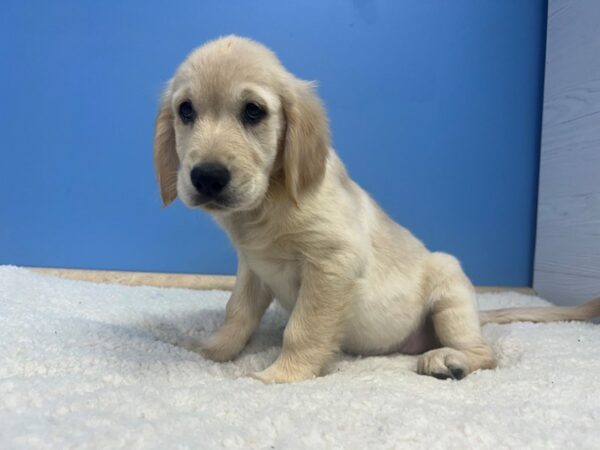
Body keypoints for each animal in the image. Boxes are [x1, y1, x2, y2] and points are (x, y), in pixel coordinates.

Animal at [155, 34, 600, 384]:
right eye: (186, 110)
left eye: (253, 111)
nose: (207, 177)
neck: (269, 201)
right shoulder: (253, 267)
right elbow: (237, 315)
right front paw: (210, 350)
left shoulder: (333, 263)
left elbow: (303, 329)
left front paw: (280, 376)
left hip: (450, 290)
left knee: (485, 352)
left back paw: (448, 359)